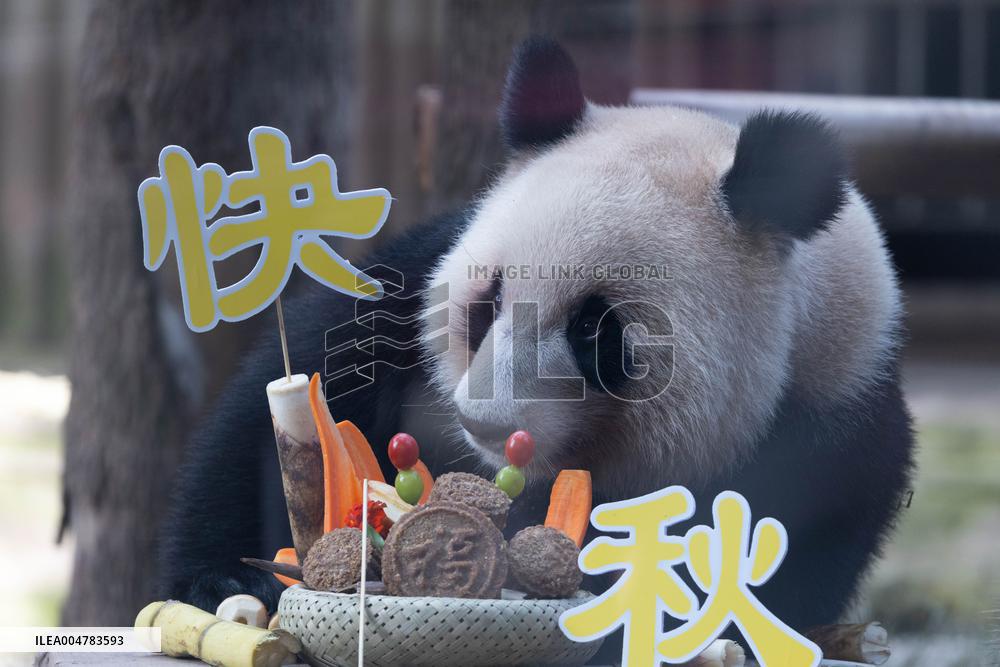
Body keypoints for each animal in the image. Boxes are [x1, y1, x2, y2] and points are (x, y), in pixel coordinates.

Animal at [160, 36, 914, 647]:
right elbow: (308, 380)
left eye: (596, 330)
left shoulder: (826, 437)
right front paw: (232, 581)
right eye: (488, 299)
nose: (483, 421)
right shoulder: (409, 285)